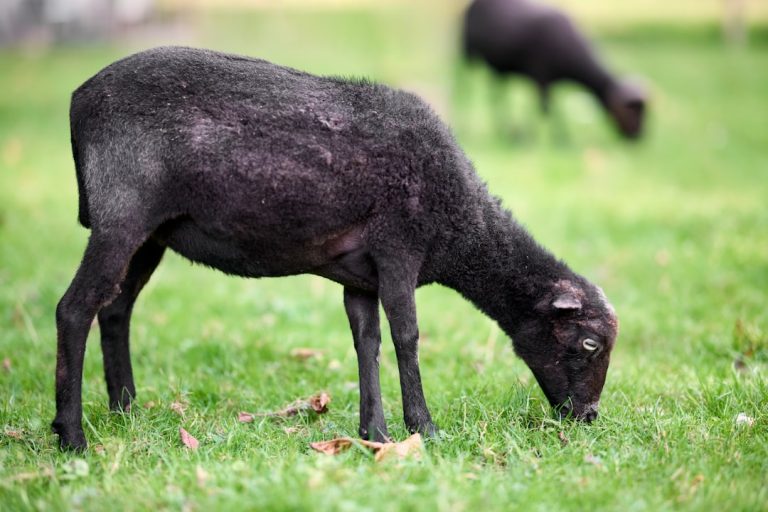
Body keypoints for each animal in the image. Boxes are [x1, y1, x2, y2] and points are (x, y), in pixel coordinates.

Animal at [53, 46, 619, 451]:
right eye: (590, 343)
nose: (588, 418)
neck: (463, 225)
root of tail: (79, 100)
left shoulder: (358, 277)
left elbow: (366, 342)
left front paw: (375, 434)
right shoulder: (398, 250)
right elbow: (407, 337)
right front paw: (424, 428)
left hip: (150, 234)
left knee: (115, 309)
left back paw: (124, 409)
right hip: (122, 215)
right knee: (74, 310)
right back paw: (71, 436)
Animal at [463, 0, 647, 139]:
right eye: (631, 113)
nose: (638, 138)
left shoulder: (548, 80)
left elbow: (552, 107)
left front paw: (562, 137)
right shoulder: (541, 75)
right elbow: (545, 109)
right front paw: (542, 138)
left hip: (499, 68)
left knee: (496, 96)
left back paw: (505, 129)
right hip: (468, 51)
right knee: (466, 86)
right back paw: (471, 125)